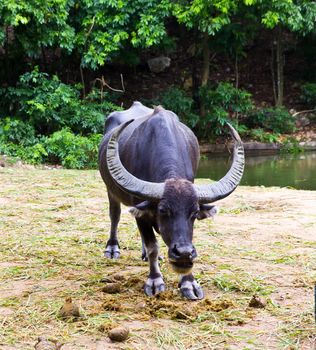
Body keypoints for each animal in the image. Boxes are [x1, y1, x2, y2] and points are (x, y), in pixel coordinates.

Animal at [99, 102, 244, 300]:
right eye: (163, 210)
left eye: (194, 213)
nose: (183, 254)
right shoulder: (141, 213)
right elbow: (152, 246)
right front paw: (154, 280)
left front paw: (189, 283)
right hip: (110, 190)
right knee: (115, 215)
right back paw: (112, 248)